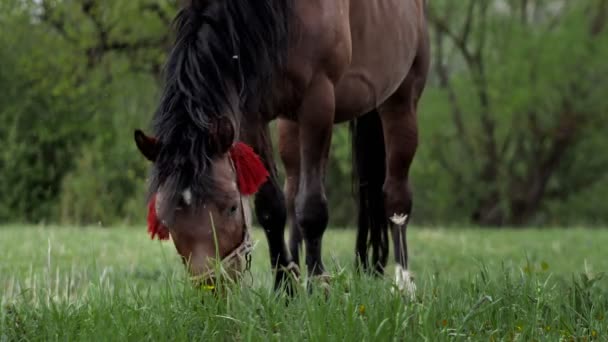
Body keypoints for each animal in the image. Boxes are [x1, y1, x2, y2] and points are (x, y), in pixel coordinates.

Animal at [134, 0, 428, 294]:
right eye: (165, 218)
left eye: (231, 207)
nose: (212, 287)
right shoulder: (252, 116)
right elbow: (271, 206)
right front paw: (285, 286)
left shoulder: (317, 103)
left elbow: (311, 207)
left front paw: (319, 285)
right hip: (290, 125)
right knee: (293, 189)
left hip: (401, 101)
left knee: (396, 195)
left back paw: (404, 284)